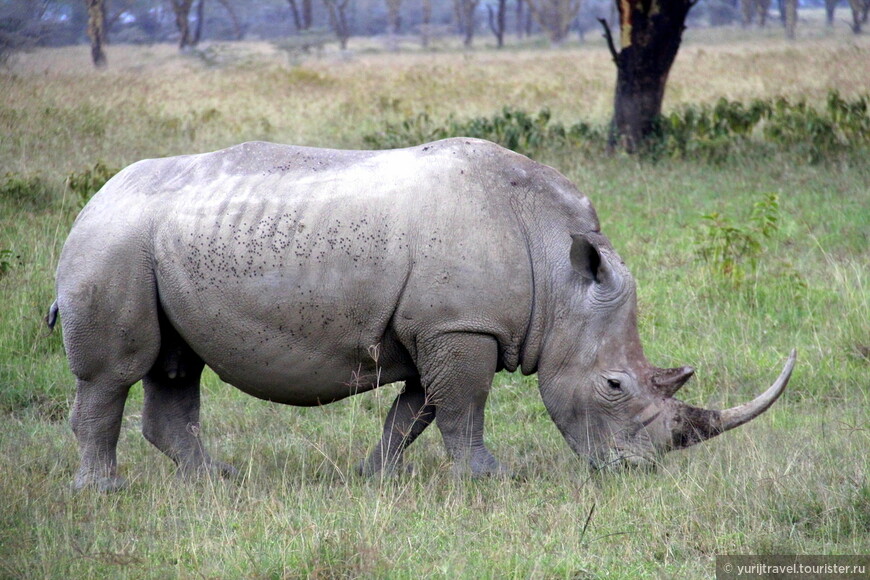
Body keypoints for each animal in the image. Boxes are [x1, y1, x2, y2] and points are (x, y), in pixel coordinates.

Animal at [49, 139, 796, 490]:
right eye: (614, 386)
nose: (637, 472)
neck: (559, 271)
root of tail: (92, 199)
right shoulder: (460, 325)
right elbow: (463, 405)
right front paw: (489, 479)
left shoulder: (438, 327)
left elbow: (417, 411)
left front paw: (374, 477)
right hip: (111, 245)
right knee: (114, 374)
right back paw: (103, 491)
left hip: (150, 246)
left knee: (176, 367)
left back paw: (218, 482)